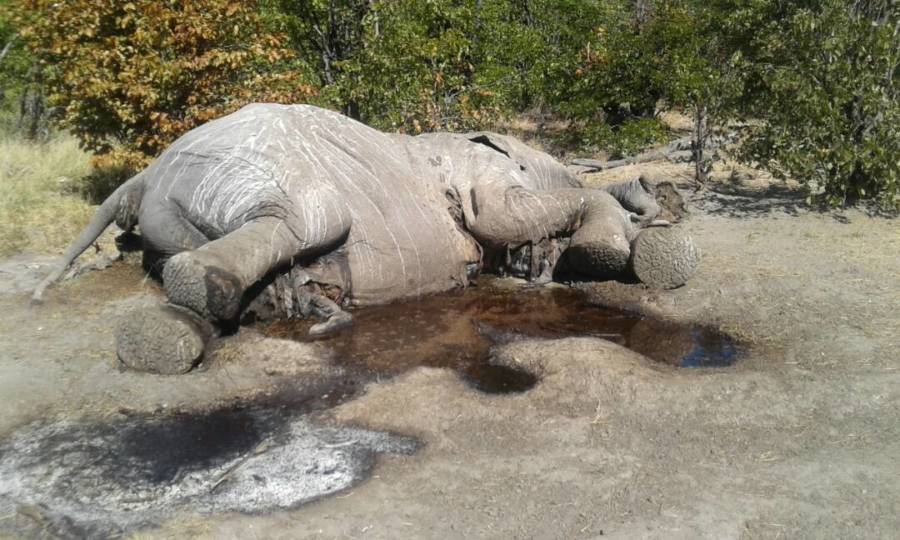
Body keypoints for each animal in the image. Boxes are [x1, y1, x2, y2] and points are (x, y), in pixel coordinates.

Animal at [33, 104, 699, 374]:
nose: (668, 195)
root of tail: (143, 177)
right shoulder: (478, 174)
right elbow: (501, 219)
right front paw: (620, 239)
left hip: (184, 205)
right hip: (248, 166)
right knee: (303, 219)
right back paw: (199, 294)